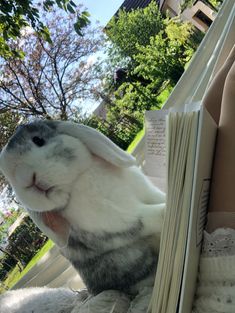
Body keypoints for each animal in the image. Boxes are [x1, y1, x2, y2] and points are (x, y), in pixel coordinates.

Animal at [0, 120, 165, 294]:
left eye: (38, 140)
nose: (25, 179)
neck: (77, 180)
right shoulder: (121, 219)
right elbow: (152, 216)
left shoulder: (147, 194)